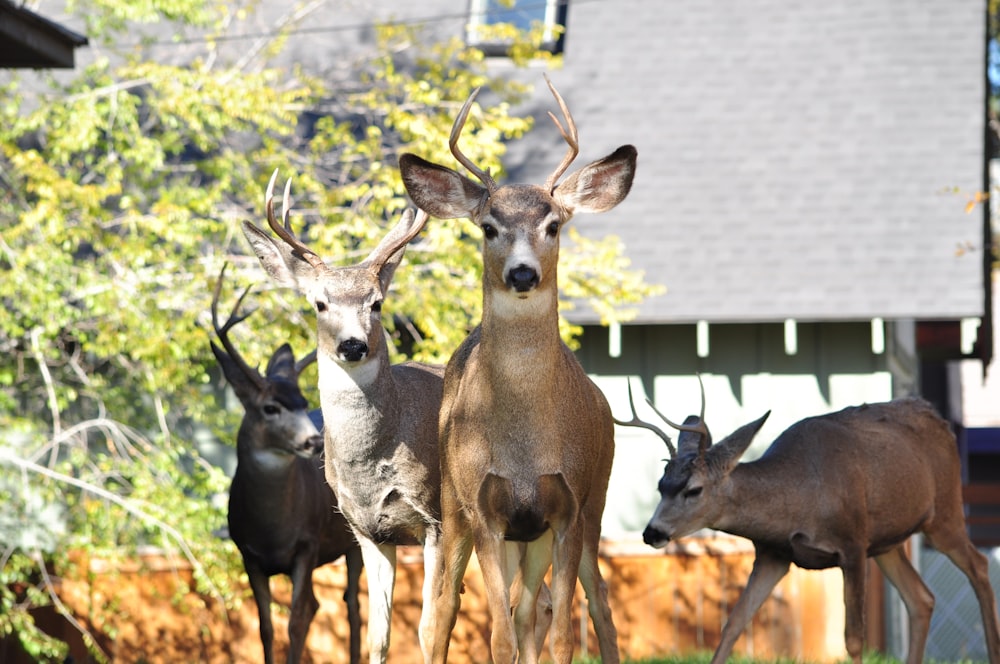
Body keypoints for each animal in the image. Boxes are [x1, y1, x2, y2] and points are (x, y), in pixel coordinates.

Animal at [211, 264, 364, 664]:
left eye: (303, 402)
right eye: (270, 408)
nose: (313, 441)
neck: (272, 530)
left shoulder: (307, 544)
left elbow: (298, 620)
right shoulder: (248, 554)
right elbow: (265, 627)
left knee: (352, 605)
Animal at [238, 172, 442, 664]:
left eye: (378, 303)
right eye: (319, 304)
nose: (353, 345)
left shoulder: (437, 518)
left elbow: (429, 629)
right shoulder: (367, 531)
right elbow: (378, 634)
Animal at [396, 78, 636, 664]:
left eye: (553, 224)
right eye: (488, 227)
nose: (523, 273)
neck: (524, 444)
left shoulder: (569, 507)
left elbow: (564, 635)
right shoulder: (485, 512)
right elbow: (497, 638)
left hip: (590, 507)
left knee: (589, 609)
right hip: (455, 509)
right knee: (449, 610)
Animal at [616, 382, 1000, 664]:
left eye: (693, 489)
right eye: (661, 485)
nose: (652, 532)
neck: (800, 500)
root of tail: (940, 420)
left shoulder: (852, 543)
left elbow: (854, 638)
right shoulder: (773, 555)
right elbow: (734, 624)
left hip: (945, 513)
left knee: (979, 565)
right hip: (886, 543)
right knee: (921, 598)